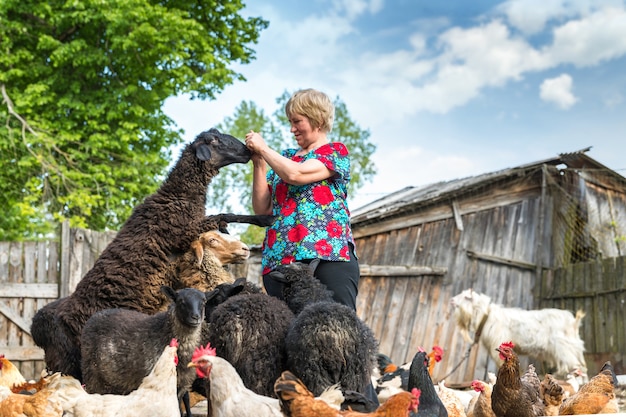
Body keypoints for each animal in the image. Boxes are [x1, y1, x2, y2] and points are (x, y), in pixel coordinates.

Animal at [31, 128, 270, 382]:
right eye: (215, 140)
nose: (247, 151)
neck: (178, 197)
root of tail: (36, 327)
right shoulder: (183, 232)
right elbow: (224, 214)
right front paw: (265, 218)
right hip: (69, 361)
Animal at [448, 288, 584, 378]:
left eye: (466, 297)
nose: (452, 300)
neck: (486, 316)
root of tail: (573, 322)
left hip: (564, 348)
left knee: (576, 366)